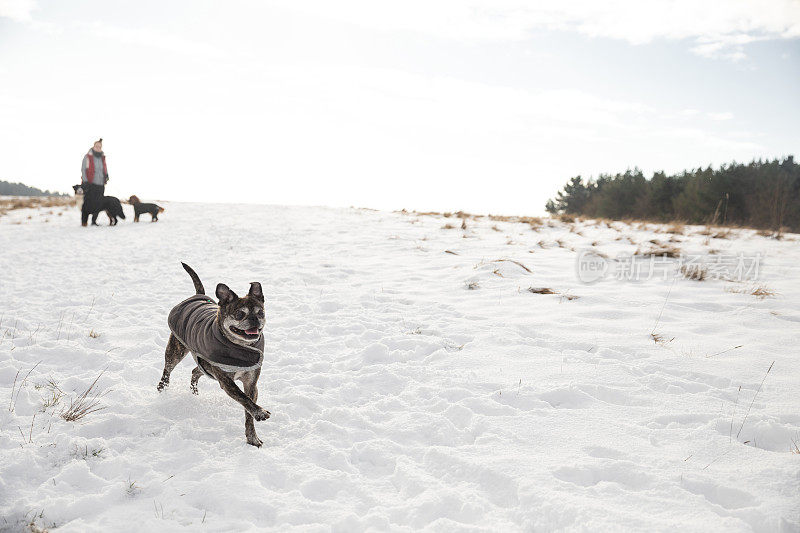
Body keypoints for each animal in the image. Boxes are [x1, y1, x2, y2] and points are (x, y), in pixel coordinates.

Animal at [158, 264, 270, 446]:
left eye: (261, 312)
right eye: (240, 314)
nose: (255, 319)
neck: (240, 347)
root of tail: (198, 295)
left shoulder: (251, 383)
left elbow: (248, 408)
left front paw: (252, 437)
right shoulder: (226, 381)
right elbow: (243, 399)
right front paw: (260, 412)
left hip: (204, 365)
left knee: (195, 371)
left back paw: (194, 392)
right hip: (176, 350)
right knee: (167, 370)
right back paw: (162, 390)